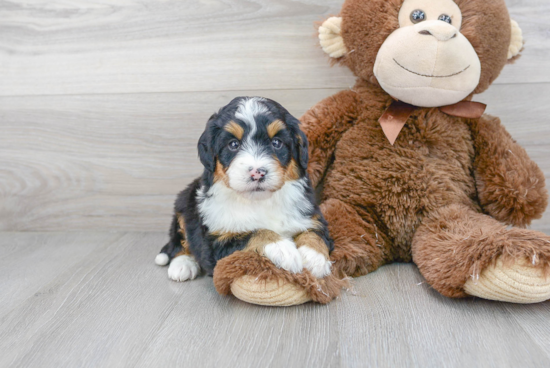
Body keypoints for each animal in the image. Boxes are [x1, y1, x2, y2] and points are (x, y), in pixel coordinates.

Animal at [155, 97, 336, 282]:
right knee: (180, 240)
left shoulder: (311, 214)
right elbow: (254, 232)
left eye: (276, 143)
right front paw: (283, 249)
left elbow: (315, 233)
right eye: (233, 144)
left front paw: (314, 258)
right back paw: (182, 264)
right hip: (184, 203)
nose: (257, 173)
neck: (260, 201)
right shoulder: (217, 241)